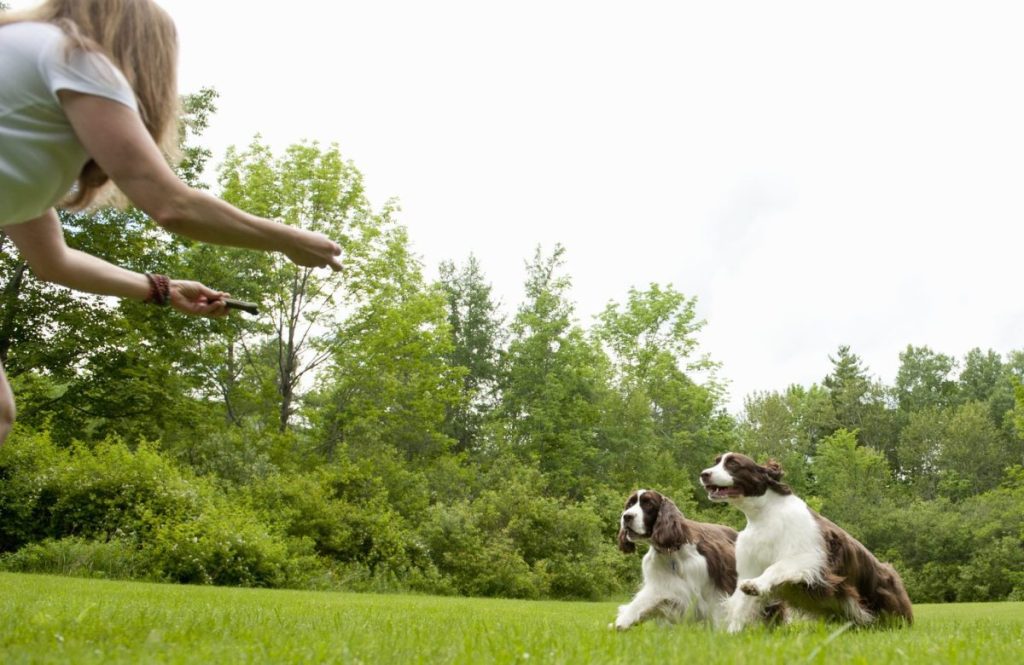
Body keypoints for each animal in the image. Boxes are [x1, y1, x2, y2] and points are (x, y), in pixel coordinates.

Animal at [610, 487, 741, 627]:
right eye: (629, 504)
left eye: (648, 504)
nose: (626, 516)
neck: (672, 550)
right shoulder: (664, 583)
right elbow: (645, 601)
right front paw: (622, 622)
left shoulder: (717, 580)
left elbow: (719, 608)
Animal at [700, 450, 917, 631]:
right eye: (716, 462)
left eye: (733, 464)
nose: (704, 474)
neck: (765, 514)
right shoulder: (750, 564)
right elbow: (742, 605)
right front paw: (732, 634)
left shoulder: (810, 557)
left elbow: (776, 568)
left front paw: (755, 586)